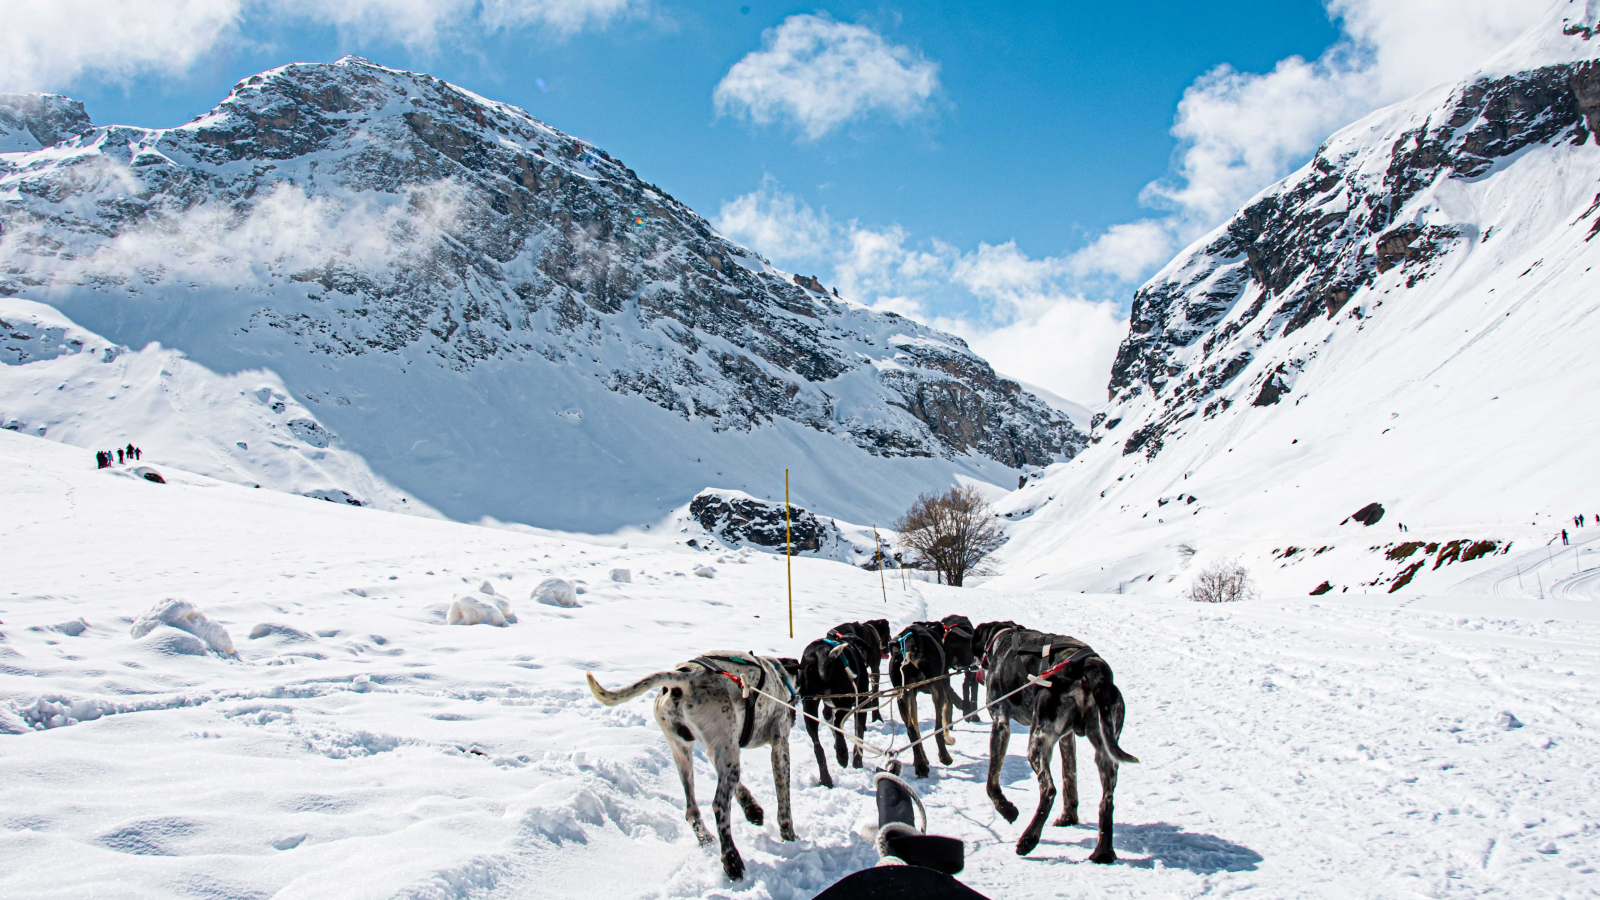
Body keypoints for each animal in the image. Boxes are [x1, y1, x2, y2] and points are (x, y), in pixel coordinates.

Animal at [588, 646, 800, 877]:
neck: (778, 674)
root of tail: (686, 677)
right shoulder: (780, 745)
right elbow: (784, 800)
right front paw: (789, 835)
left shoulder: (717, 751)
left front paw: (751, 808)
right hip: (729, 759)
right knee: (719, 806)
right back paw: (731, 859)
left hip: (688, 751)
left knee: (692, 810)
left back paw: (705, 837)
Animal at [800, 630, 876, 784]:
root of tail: (820, 652)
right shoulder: (861, 704)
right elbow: (859, 733)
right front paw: (857, 761)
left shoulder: (827, 708)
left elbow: (829, 719)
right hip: (844, 701)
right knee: (838, 722)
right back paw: (842, 754)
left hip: (809, 706)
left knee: (818, 746)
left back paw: (825, 778)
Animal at [889, 621, 947, 775]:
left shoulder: (911, 695)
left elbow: (915, 726)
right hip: (936, 690)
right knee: (937, 728)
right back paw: (944, 755)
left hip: (902, 696)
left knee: (911, 730)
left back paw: (920, 764)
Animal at [979, 627, 1132, 858]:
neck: (1003, 638)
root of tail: (1090, 667)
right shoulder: (1067, 738)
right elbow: (1070, 777)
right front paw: (1069, 817)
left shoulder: (1000, 722)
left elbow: (991, 783)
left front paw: (1006, 809)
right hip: (1105, 752)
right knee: (1106, 800)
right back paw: (1103, 852)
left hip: (1036, 744)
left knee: (1049, 790)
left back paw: (1028, 840)